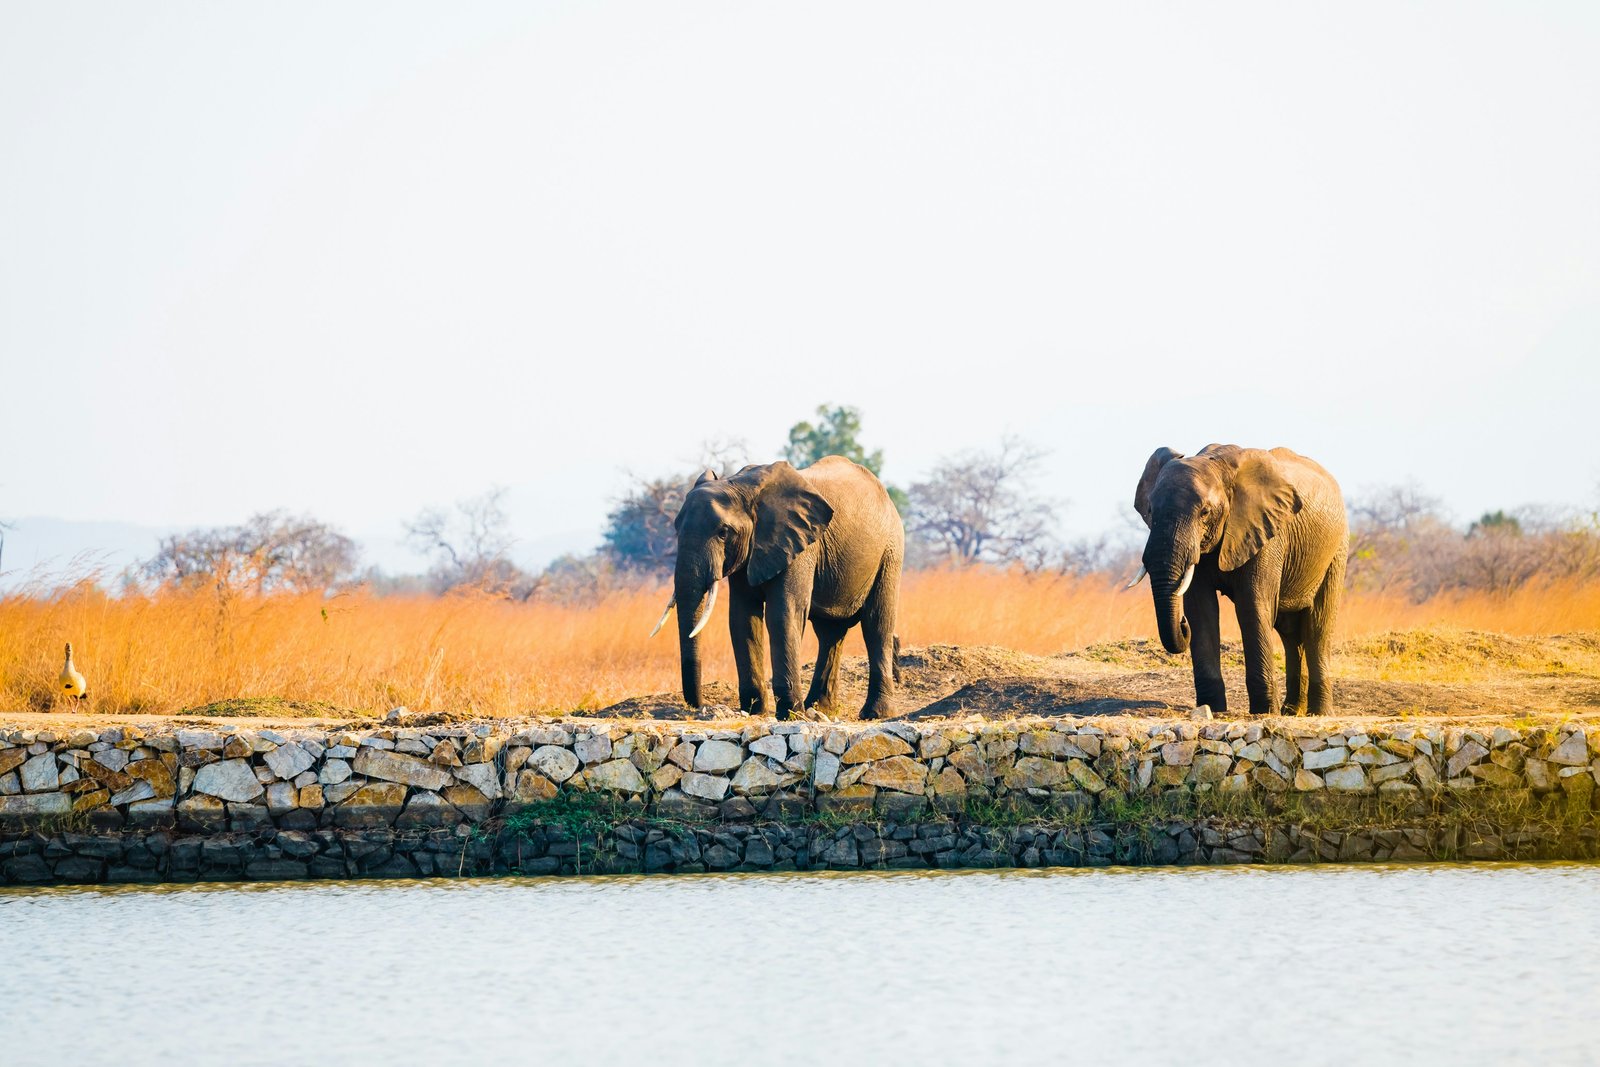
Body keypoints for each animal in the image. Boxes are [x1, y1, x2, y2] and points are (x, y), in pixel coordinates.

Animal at [651, 456, 904, 720]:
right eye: (676, 529)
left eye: (723, 533)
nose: (699, 706)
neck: (741, 485)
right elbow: (742, 617)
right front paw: (755, 711)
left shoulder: (801, 546)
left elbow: (783, 614)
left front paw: (790, 715)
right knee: (829, 633)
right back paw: (819, 708)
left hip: (890, 550)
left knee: (877, 624)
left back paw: (875, 714)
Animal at [1132, 444, 1347, 716]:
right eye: (1150, 511)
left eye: (1205, 513)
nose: (1182, 623)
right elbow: (1201, 610)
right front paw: (1212, 707)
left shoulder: (1267, 534)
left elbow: (1252, 607)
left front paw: (1264, 712)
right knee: (1290, 634)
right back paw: (1291, 711)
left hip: (1336, 550)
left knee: (1317, 626)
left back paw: (1318, 713)